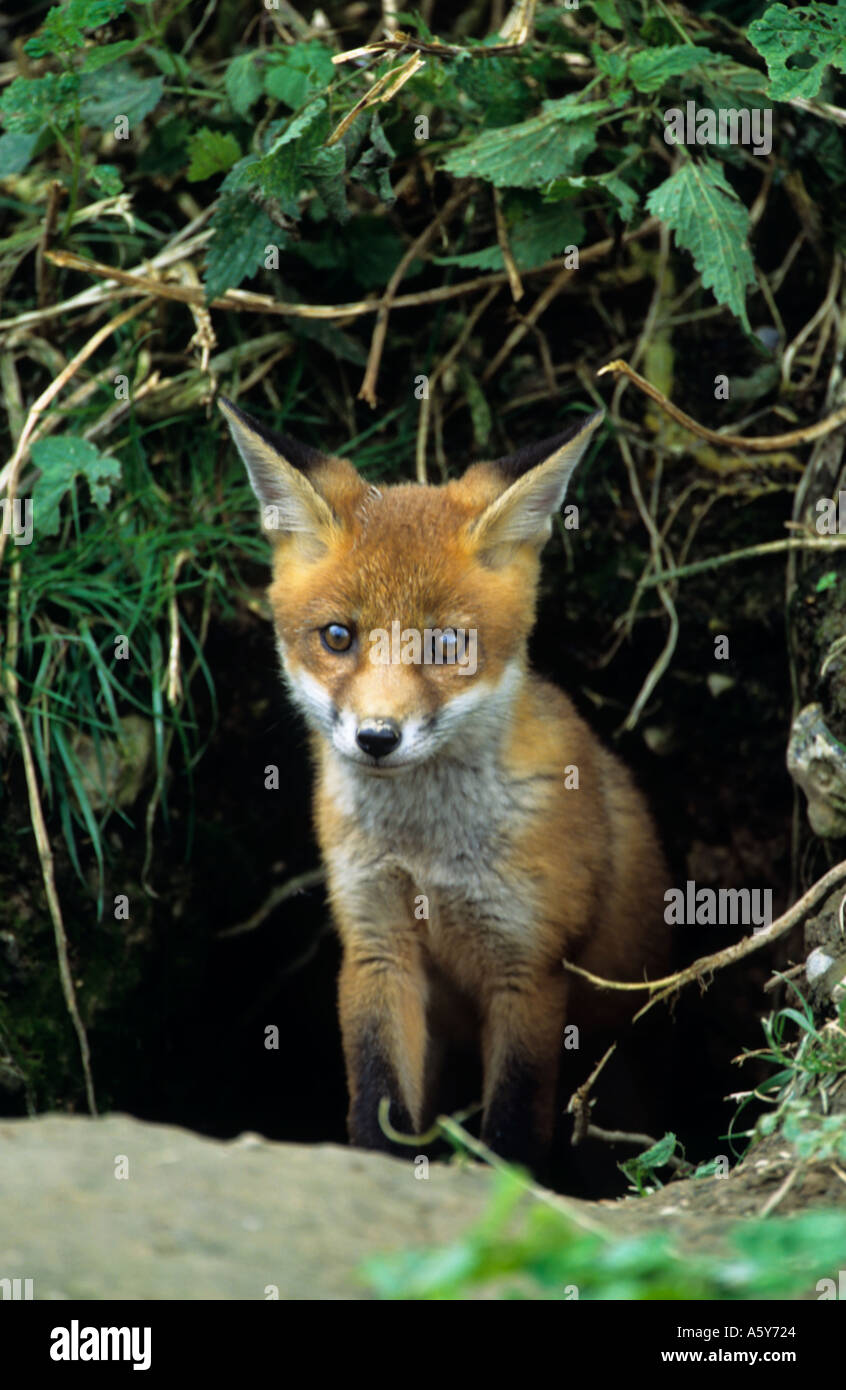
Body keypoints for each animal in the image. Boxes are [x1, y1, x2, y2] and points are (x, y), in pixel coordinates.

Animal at [220, 397, 671, 1177]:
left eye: (445, 645)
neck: (427, 854)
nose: (377, 737)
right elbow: (379, 1097)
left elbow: (513, 1126)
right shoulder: (376, 945)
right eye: (337, 637)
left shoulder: (530, 968)